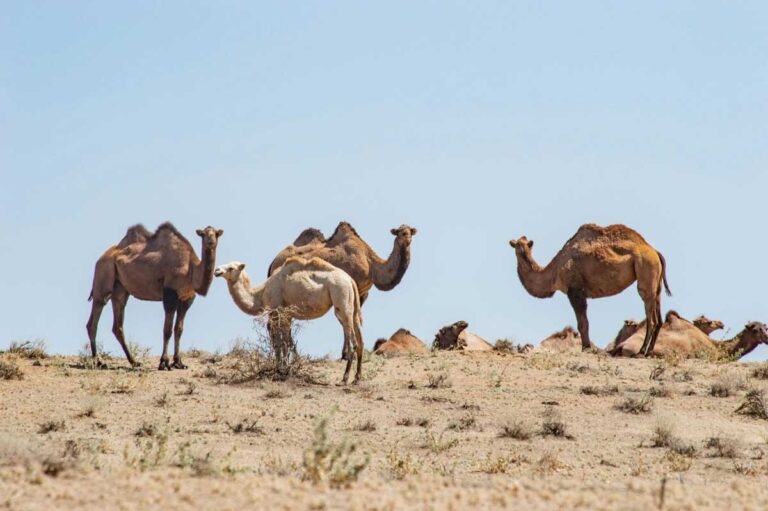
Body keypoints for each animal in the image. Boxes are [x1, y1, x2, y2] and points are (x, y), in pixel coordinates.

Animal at [86, 223, 222, 370]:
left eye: (216, 234)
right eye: (203, 234)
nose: (210, 241)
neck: (191, 268)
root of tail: (101, 258)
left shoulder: (187, 298)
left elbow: (179, 329)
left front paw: (179, 362)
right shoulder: (170, 293)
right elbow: (167, 330)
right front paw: (164, 362)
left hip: (120, 289)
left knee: (118, 323)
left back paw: (134, 361)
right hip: (103, 275)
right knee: (95, 317)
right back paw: (99, 362)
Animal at [214, 257, 364, 384]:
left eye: (231, 268)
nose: (217, 271)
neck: (260, 293)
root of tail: (350, 279)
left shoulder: (277, 311)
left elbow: (279, 342)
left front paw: (281, 370)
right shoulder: (287, 315)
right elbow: (287, 342)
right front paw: (286, 367)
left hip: (341, 297)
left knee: (352, 340)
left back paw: (344, 379)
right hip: (351, 305)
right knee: (360, 338)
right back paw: (356, 378)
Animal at [509, 224, 671, 356]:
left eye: (522, 245)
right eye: (516, 246)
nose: (520, 250)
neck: (554, 272)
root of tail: (655, 251)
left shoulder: (575, 290)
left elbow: (582, 323)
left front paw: (586, 348)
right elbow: (584, 322)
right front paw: (587, 347)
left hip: (646, 270)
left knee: (651, 316)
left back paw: (642, 351)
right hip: (656, 283)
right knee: (658, 315)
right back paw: (649, 351)